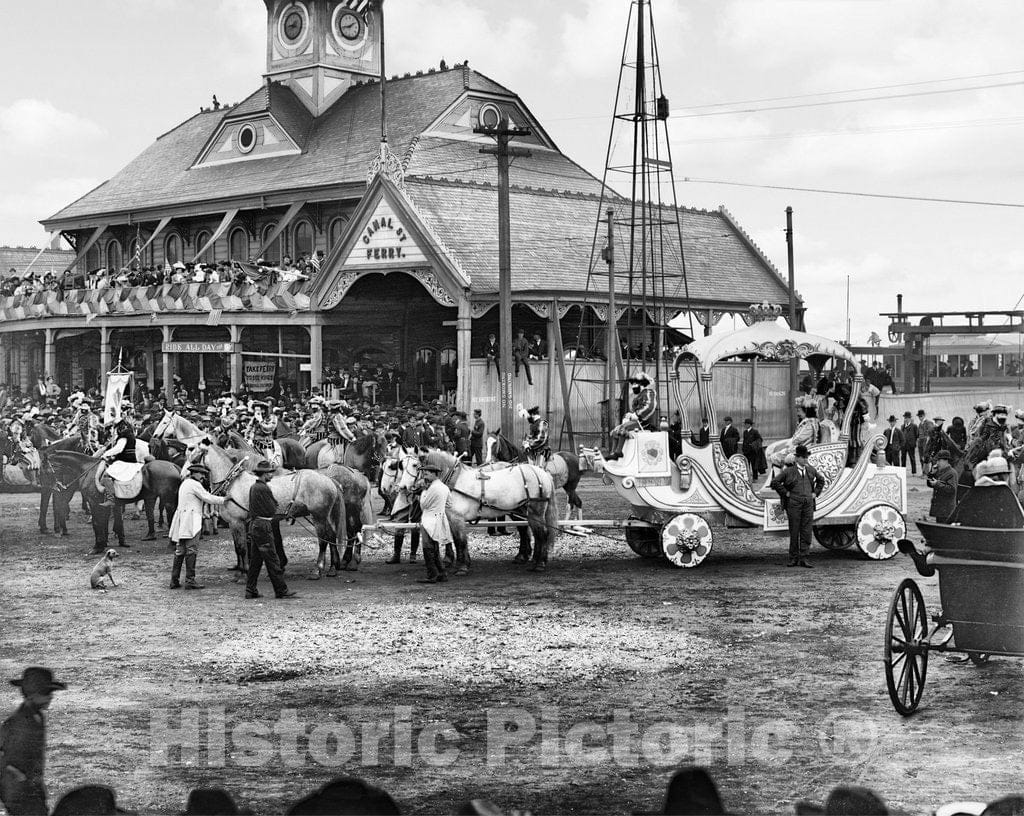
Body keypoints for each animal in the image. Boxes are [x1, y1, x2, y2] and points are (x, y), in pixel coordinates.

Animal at [46, 448, 182, 548]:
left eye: (46, 468)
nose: (56, 488)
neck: (87, 470)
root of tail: (174, 466)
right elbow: (108, 522)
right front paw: (108, 542)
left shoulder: (94, 502)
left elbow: (98, 523)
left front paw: (99, 545)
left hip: (168, 500)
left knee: (172, 516)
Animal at [196, 442, 348, 577]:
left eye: (193, 451)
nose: (193, 476)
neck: (233, 483)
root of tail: (329, 479)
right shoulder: (239, 522)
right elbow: (240, 547)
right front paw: (242, 569)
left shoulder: (237, 521)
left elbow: (241, 547)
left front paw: (243, 573)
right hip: (324, 516)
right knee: (331, 536)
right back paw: (333, 567)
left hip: (318, 516)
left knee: (323, 540)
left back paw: (318, 569)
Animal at [399, 446, 561, 573]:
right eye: (401, 465)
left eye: (415, 465)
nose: (403, 487)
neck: (454, 480)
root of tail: (541, 472)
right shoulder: (450, 518)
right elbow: (456, 540)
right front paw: (461, 562)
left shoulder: (457, 518)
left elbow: (460, 540)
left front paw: (462, 567)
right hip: (525, 511)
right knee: (532, 533)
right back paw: (531, 560)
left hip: (536, 511)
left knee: (542, 534)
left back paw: (540, 563)